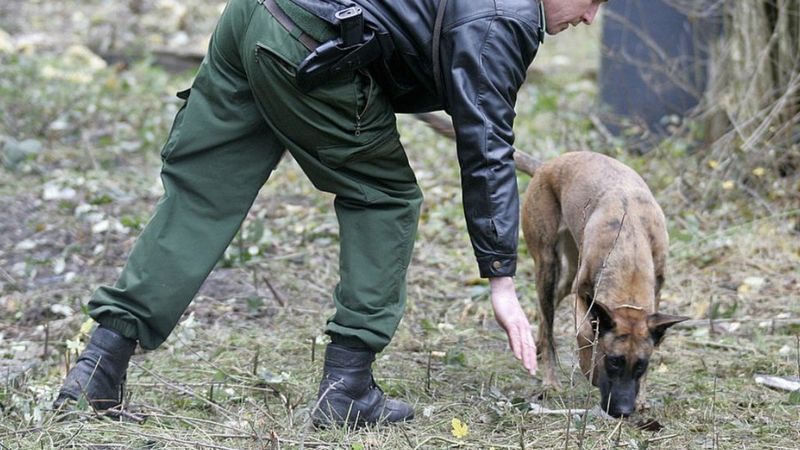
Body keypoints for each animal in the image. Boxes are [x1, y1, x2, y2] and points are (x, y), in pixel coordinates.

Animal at [520, 152, 688, 418]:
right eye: (613, 361)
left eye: (641, 365)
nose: (623, 411)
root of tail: (547, 165)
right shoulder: (583, 294)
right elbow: (585, 333)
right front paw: (590, 370)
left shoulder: (656, 295)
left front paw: (642, 397)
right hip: (546, 263)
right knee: (548, 316)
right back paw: (550, 379)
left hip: (568, 269)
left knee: (550, 306)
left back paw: (538, 343)